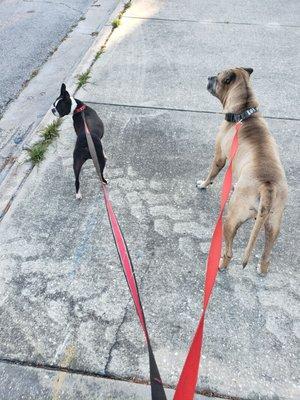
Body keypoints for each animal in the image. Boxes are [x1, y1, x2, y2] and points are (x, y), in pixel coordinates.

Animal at [197, 67, 288, 276]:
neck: (244, 113)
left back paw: (221, 265)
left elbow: (211, 173)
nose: (208, 77)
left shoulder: (220, 157)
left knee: (229, 251)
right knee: (266, 254)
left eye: (218, 77)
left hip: (231, 218)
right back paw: (262, 268)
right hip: (274, 223)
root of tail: (267, 186)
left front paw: (203, 184)